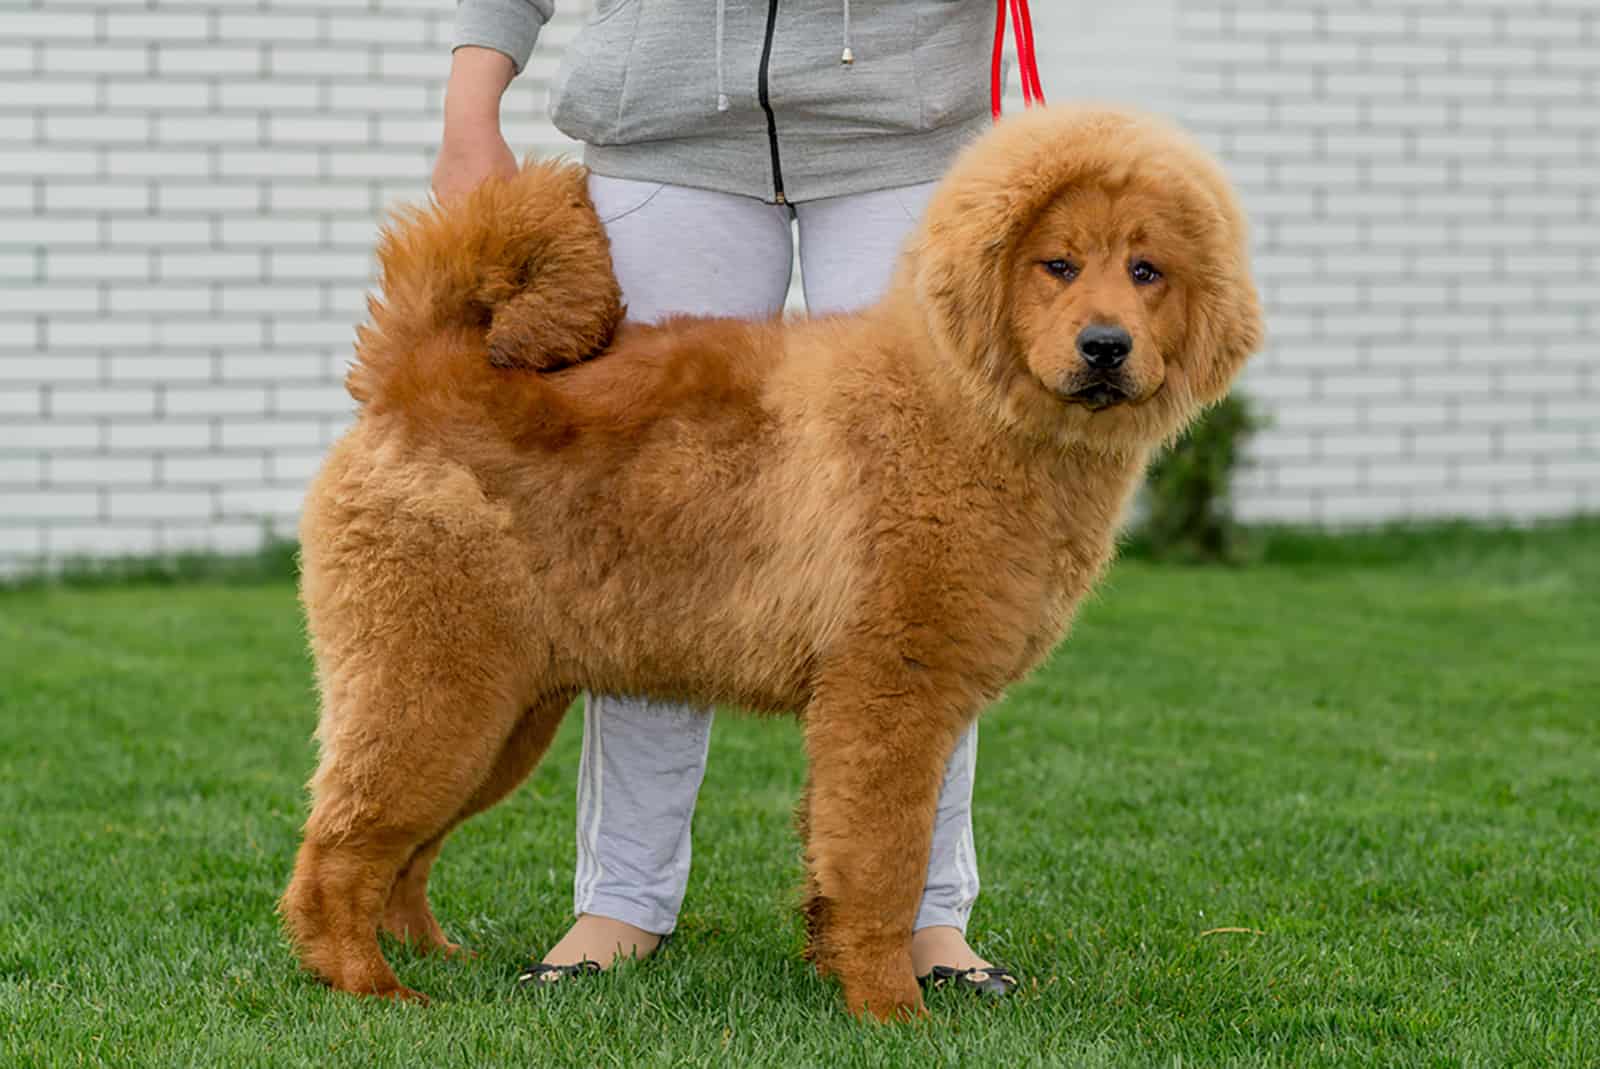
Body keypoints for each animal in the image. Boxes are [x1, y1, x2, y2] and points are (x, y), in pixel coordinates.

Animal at [284, 106, 1260, 1017]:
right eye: (1057, 265)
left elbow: (843, 862)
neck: (963, 408)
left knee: (403, 853)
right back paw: (373, 989)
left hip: (507, 715)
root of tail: (413, 371)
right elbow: (884, 865)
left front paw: (847, 971)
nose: (1106, 346)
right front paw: (892, 1010)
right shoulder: (888, 693)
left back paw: (434, 956)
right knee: (338, 850)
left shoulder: (898, 703)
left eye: (1147, 272)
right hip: (437, 693)